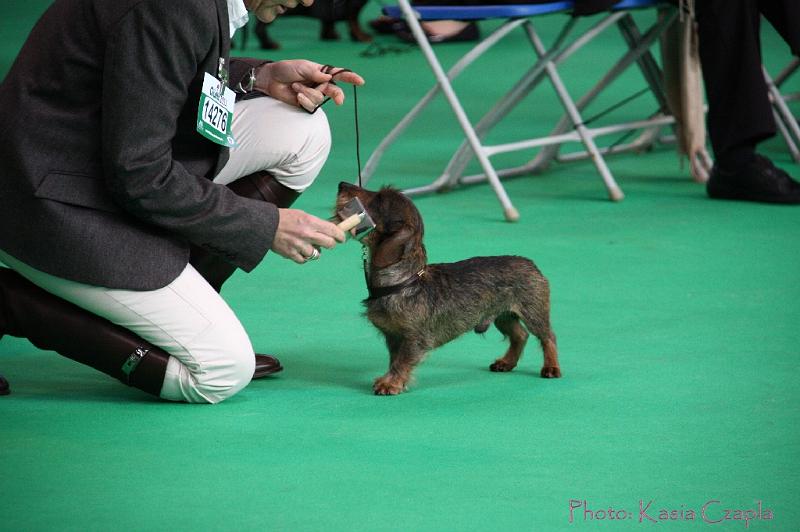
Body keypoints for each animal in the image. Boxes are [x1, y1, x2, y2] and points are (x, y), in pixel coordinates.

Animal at [334, 183, 560, 394]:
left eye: (379, 200)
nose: (342, 184)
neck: (405, 281)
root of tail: (530, 263)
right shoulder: (393, 336)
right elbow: (394, 359)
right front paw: (392, 379)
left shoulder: (415, 339)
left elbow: (402, 362)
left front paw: (391, 383)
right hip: (503, 315)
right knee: (520, 335)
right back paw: (506, 362)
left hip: (533, 312)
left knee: (548, 337)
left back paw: (551, 367)